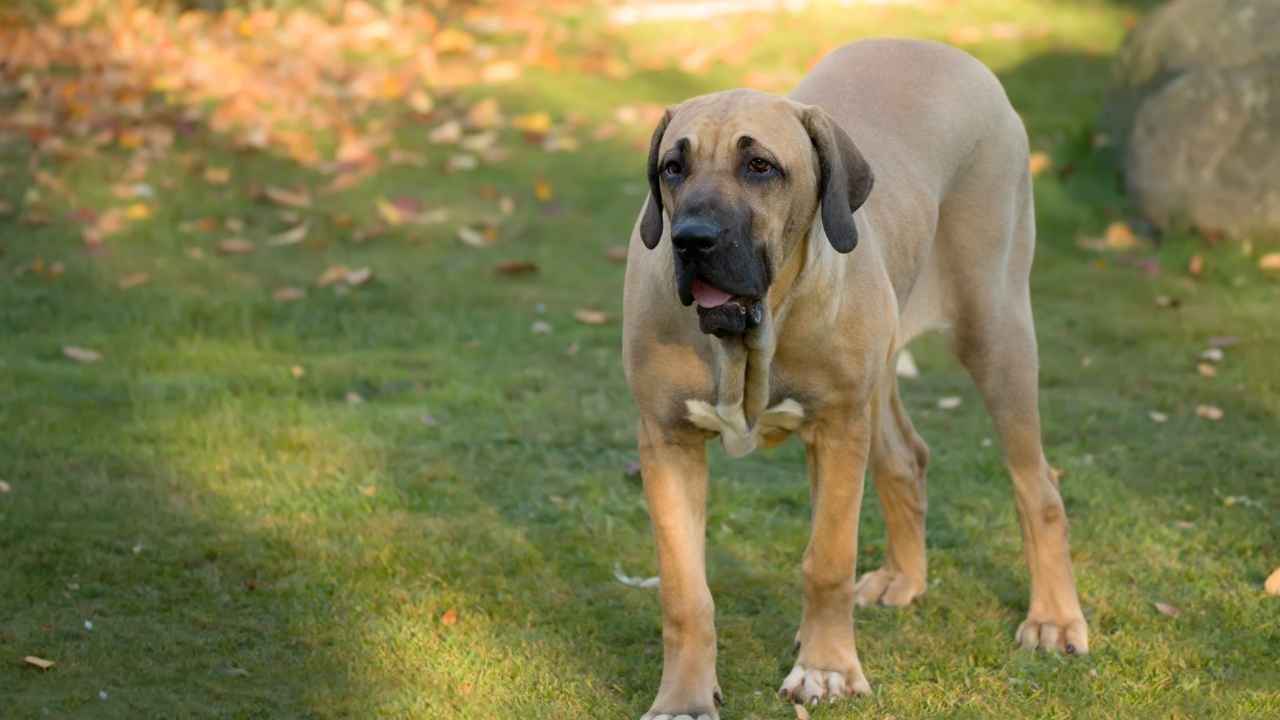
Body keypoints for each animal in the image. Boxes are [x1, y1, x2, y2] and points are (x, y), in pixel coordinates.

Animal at [619, 39, 1090, 717]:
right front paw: (684, 695)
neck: (750, 342)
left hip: (996, 329)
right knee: (907, 458)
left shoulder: (838, 429)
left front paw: (827, 670)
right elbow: (685, 591)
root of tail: (946, 49)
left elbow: (828, 560)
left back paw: (1053, 617)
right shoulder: (667, 440)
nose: (691, 239)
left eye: (760, 166)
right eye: (672, 168)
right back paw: (904, 578)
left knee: (1038, 487)